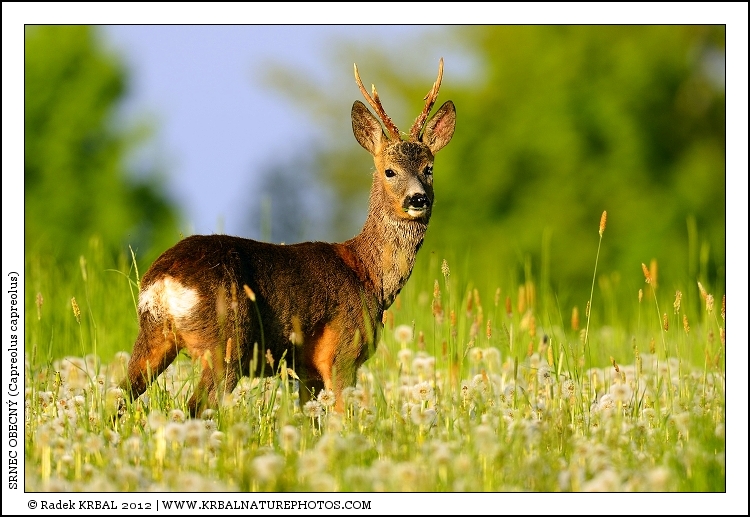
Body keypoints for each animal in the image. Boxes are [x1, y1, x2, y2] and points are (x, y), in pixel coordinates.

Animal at [120, 59, 456, 416]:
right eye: (390, 171)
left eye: (429, 168)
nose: (417, 199)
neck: (368, 274)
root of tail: (163, 281)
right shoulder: (342, 353)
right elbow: (343, 417)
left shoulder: (307, 371)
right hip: (227, 342)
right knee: (196, 406)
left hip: (154, 336)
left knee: (119, 396)